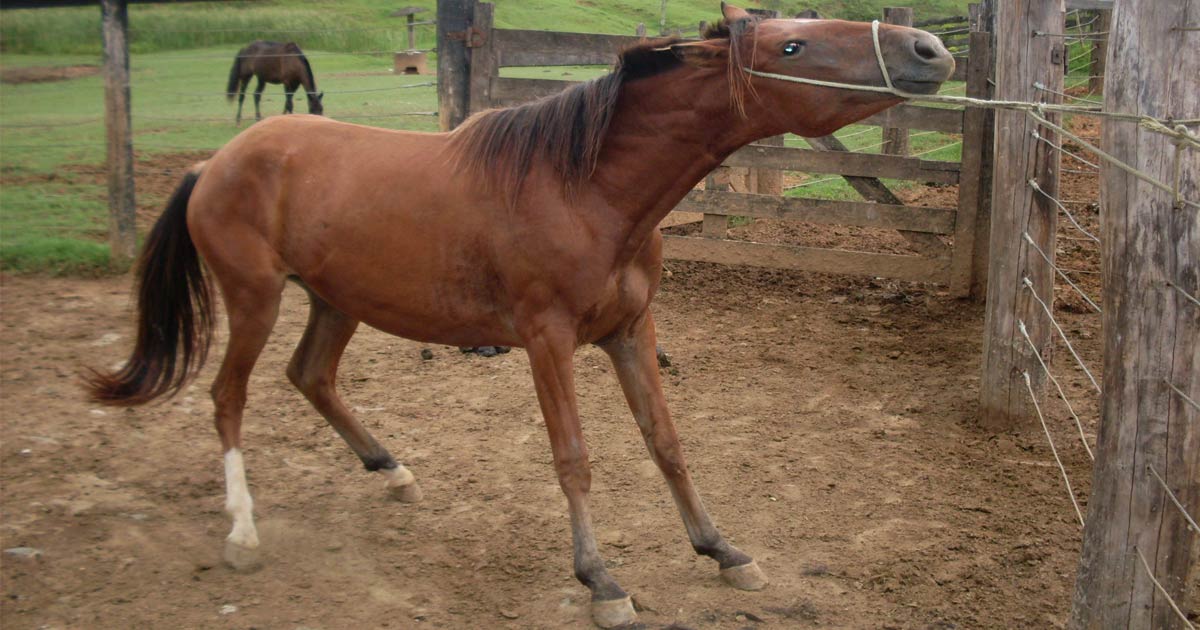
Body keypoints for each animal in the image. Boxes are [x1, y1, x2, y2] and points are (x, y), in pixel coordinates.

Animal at [88, 3, 950, 624]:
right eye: (793, 47)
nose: (928, 50)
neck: (585, 188)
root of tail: (216, 163)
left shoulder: (631, 333)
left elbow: (667, 443)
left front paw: (722, 549)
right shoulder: (547, 340)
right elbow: (573, 457)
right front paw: (602, 579)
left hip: (336, 301)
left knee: (312, 378)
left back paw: (392, 471)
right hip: (254, 300)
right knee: (227, 397)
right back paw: (242, 531)